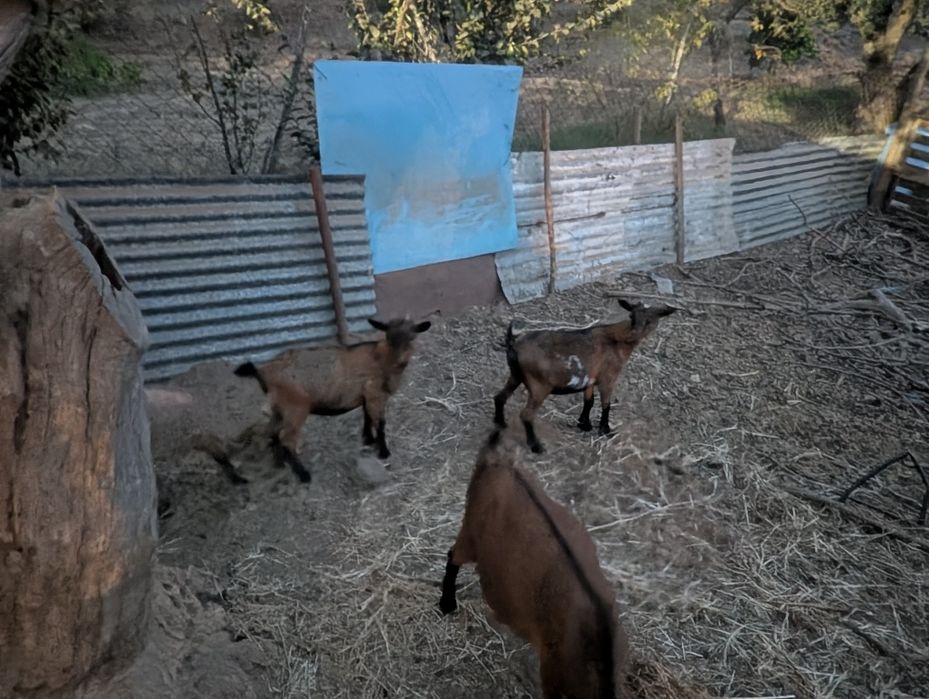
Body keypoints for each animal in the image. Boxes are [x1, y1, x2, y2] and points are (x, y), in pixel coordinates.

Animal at [233, 316, 431, 483]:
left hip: (279, 408)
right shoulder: (376, 395)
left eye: (412, 337)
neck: (382, 358)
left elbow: (367, 417)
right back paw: (304, 475)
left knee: (271, 432)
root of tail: (262, 372)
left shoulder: (366, 395)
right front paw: (383, 452)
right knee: (286, 439)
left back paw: (280, 463)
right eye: (389, 337)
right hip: (295, 408)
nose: (401, 360)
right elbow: (380, 423)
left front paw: (367, 439)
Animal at [494, 299, 675, 453]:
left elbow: (589, 401)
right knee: (526, 415)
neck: (616, 340)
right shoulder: (608, 378)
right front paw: (605, 430)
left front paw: (584, 424)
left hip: (515, 375)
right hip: (539, 386)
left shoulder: (590, 379)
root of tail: (514, 344)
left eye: (650, 320)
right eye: (632, 316)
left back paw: (500, 423)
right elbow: (605, 404)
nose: (634, 333)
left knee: (500, 397)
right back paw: (536, 446)